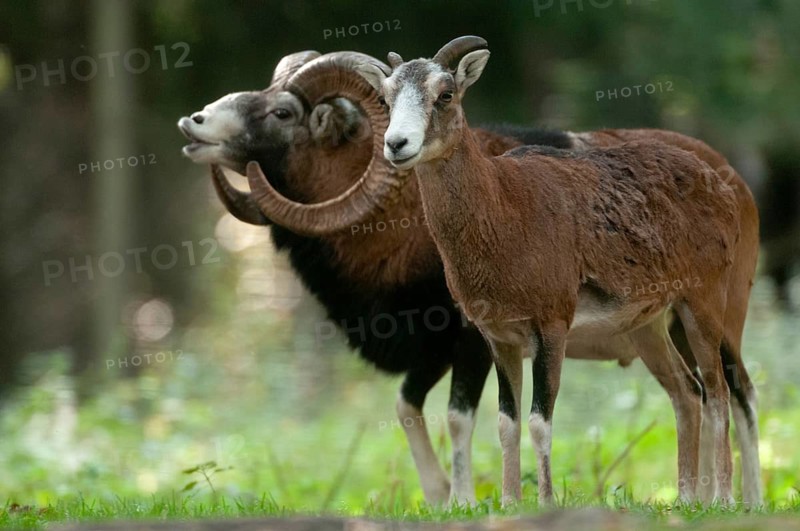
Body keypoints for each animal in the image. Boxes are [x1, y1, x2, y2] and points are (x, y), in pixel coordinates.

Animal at [241, 38, 761, 506]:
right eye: (386, 98)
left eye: (446, 94)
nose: (396, 144)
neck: (505, 212)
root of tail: (721, 182)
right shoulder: (499, 339)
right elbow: (506, 424)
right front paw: (511, 504)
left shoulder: (550, 330)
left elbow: (539, 422)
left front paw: (545, 503)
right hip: (649, 329)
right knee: (688, 395)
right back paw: (687, 501)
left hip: (704, 313)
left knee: (723, 395)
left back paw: (728, 502)